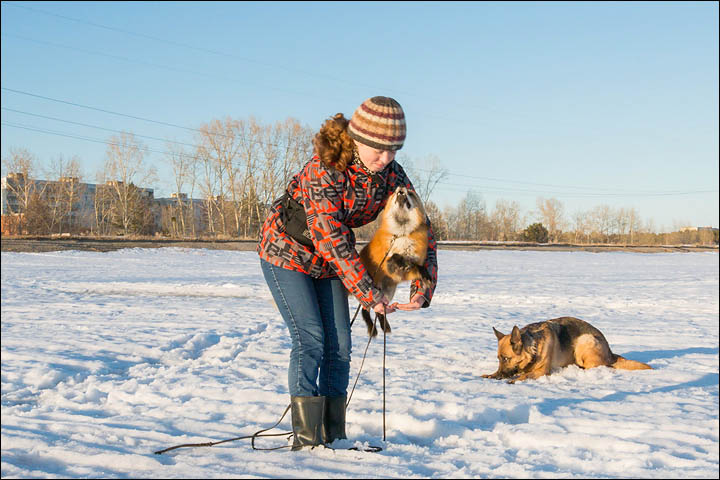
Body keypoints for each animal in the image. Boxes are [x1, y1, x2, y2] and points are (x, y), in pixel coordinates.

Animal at [358, 185, 430, 338]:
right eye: (393, 194)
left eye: (411, 193)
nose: (401, 187)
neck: (402, 234)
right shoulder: (389, 265)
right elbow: (396, 256)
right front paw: (403, 260)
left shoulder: (404, 274)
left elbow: (417, 266)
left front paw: (425, 275)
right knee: (365, 310)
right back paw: (372, 328)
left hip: (387, 293)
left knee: (379, 311)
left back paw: (385, 327)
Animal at [480, 316, 656, 384]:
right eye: (498, 358)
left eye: (506, 358)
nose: (499, 376)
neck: (533, 346)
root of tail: (611, 353)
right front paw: (490, 375)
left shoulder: (542, 371)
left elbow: (526, 375)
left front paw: (515, 379)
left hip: (584, 341)